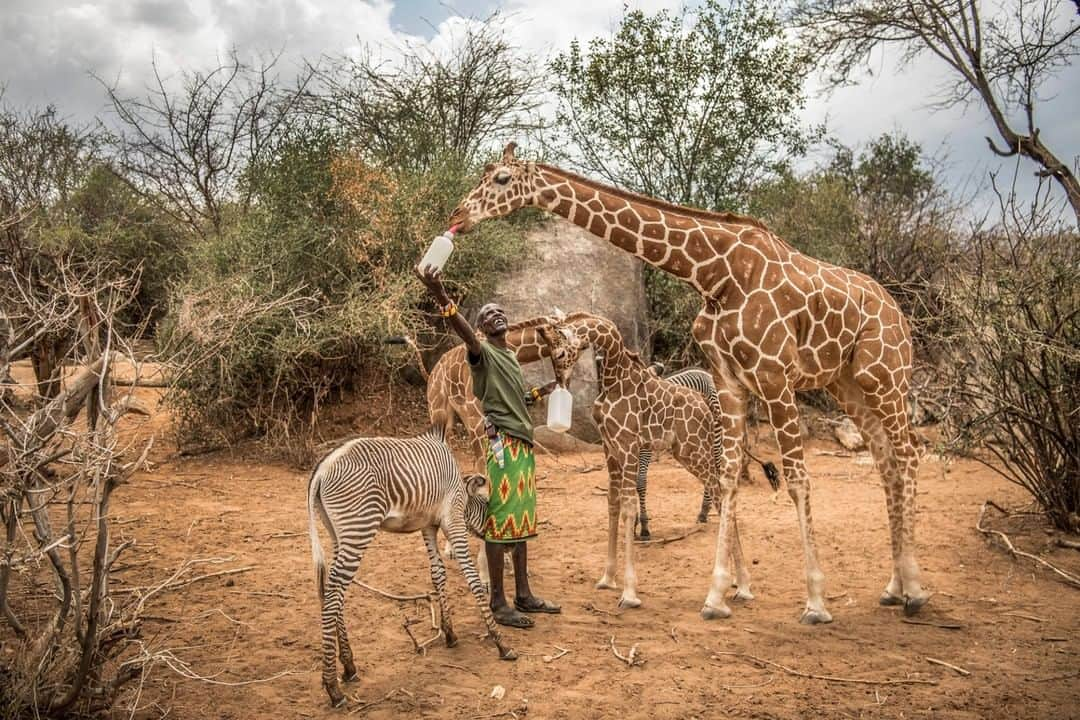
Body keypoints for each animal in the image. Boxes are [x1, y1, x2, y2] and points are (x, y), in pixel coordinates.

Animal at [308, 425, 518, 708]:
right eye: (488, 505)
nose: (509, 547)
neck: (462, 493)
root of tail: (322, 467)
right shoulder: (453, 521)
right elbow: (472, 579)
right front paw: (500, 642)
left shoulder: (428, 526)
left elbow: (438, 574)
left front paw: (450, 633)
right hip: (359, 527)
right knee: (333, 592)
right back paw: (333, 687)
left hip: (338, 532)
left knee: (334, 592)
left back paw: (349, 666)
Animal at [537, 313, 751, 617]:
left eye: (559, 353)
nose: (561, 383)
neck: (614, 380)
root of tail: (707, 409)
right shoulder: (610, 449)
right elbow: (613, 505)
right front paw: (607, 579)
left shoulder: (628, 446)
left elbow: (628, 508)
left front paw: (629, 593)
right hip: (687, 452)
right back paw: (735, 583)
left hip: (694, 450)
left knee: (721, 494)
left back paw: (739, 587)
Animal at [635, 367, 781, 539]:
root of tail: (707, 374)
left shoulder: (645, 449)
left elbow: (640, 483)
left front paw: (644, 527)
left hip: (715, 434)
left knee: (715, 470)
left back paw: (707, 511)